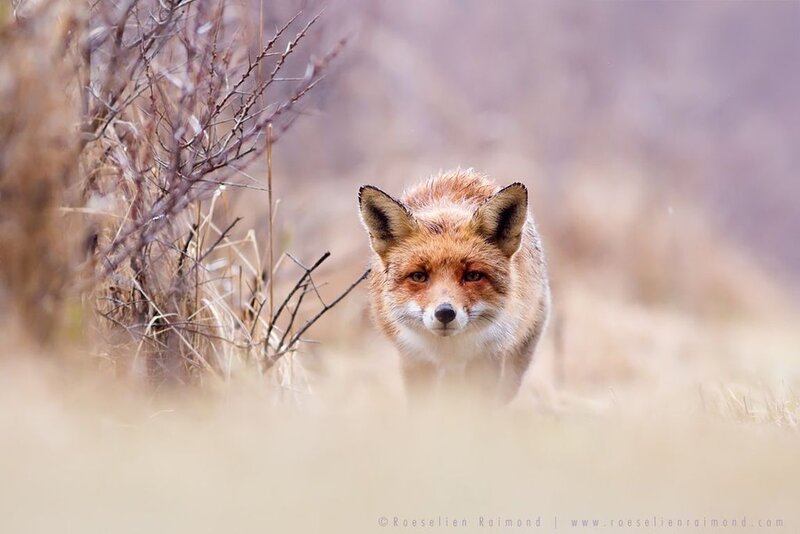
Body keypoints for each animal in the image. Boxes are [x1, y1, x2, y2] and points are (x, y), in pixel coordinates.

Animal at [358, 169, 550, 404]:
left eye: (473, 275)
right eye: (419, 276)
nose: (445, 313)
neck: (449, 349)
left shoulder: (488, 356)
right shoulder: (414, 359)